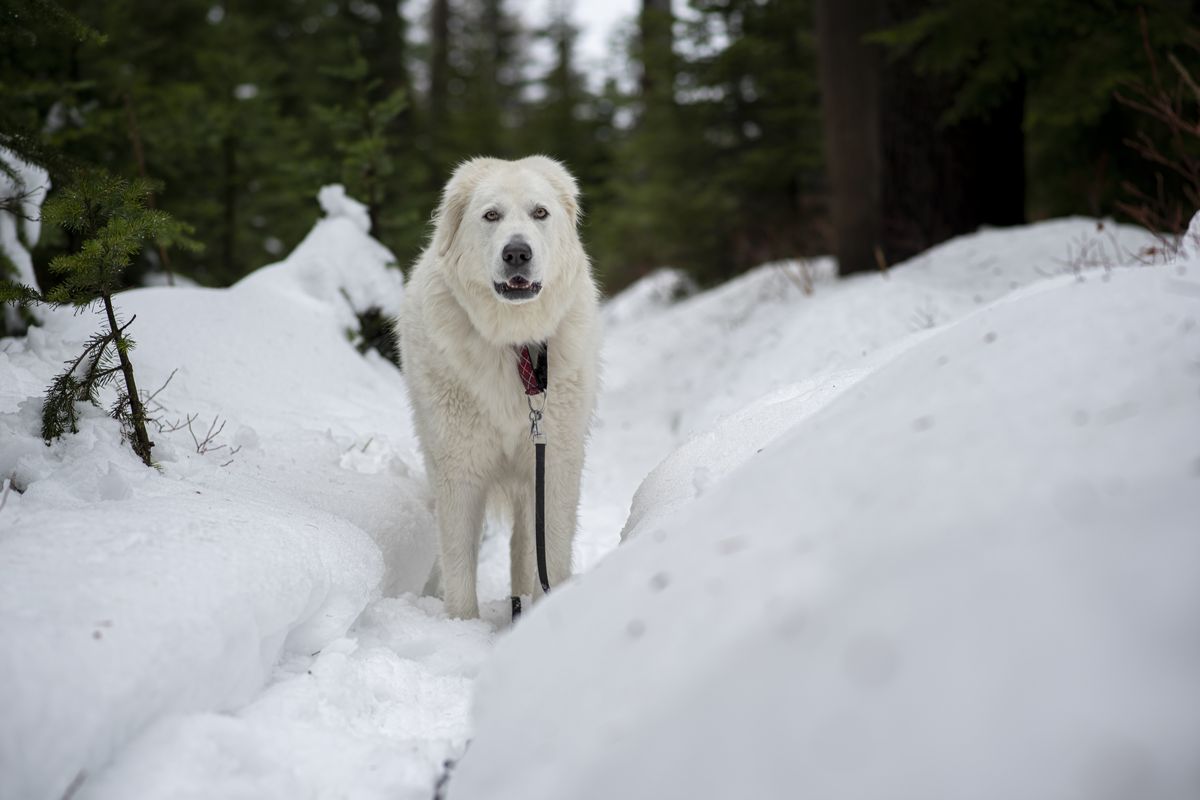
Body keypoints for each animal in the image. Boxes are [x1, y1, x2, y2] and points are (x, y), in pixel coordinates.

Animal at [398, 155, 600, 618]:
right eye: (491, 215)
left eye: (540, 213)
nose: (517, 253)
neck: (514, 343)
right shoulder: (458, 467)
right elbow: (458, 562)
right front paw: (460, 625)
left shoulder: (553, 463)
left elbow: (550, 552)